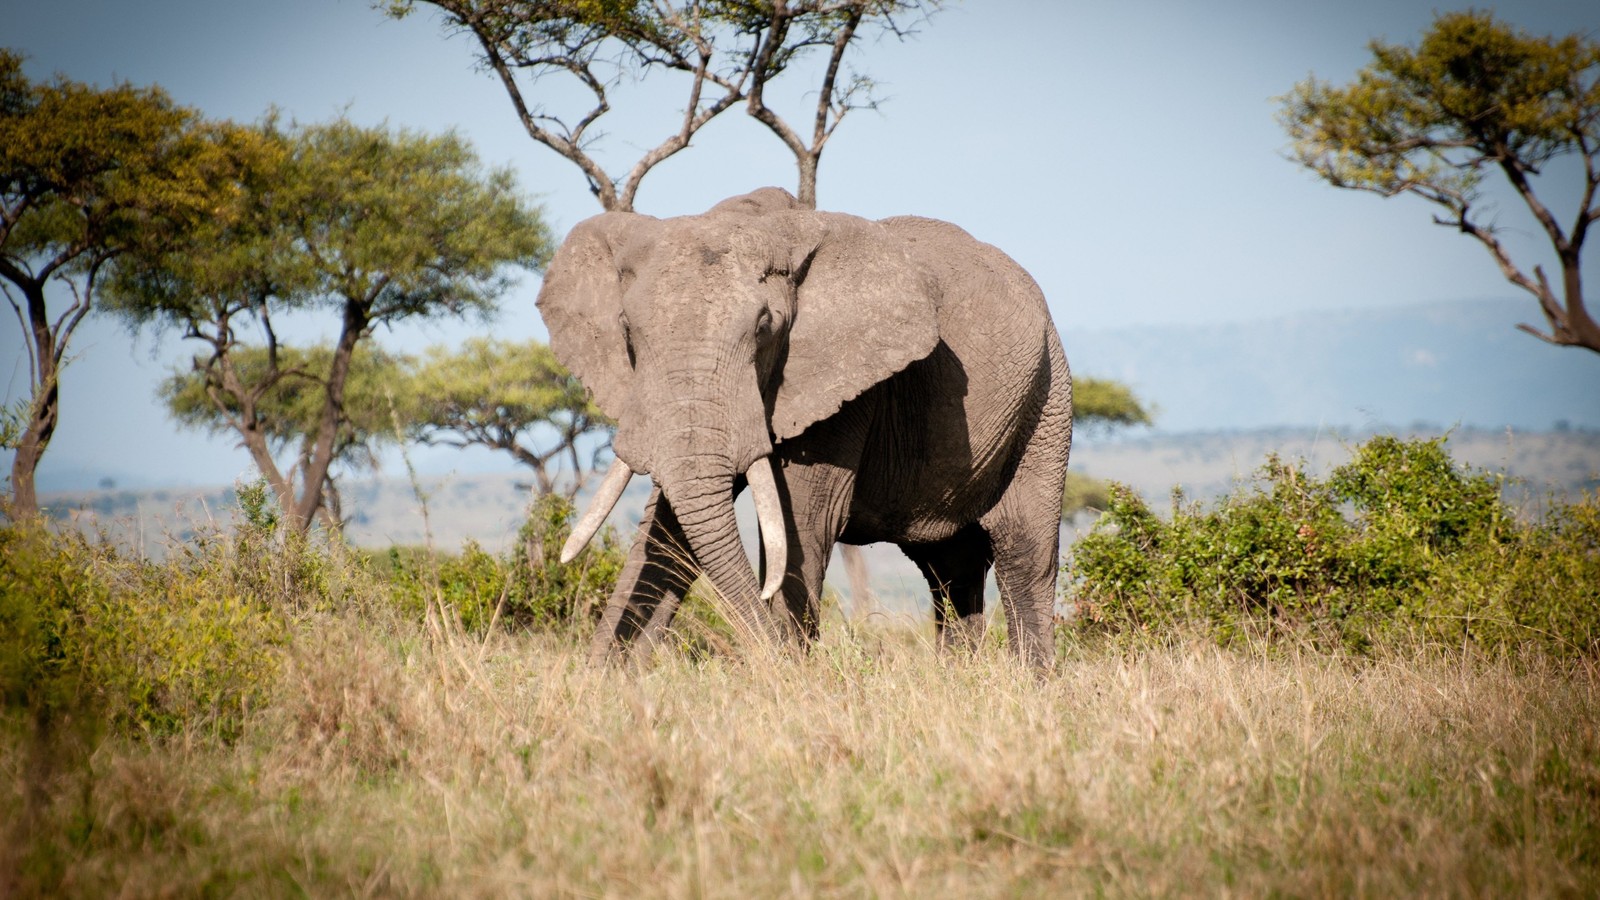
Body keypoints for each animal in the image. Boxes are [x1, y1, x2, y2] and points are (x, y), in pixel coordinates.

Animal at [544, 187, 1081, 666]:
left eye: (764, 329)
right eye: (627, 331)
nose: (769, 661)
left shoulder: (847, 393)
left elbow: (801, 524)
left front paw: (789, 679)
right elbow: (668, 531)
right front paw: (605, 682)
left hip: (1048, 394)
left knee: (1023, 552)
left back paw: (1028, 685)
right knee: (951, 566)